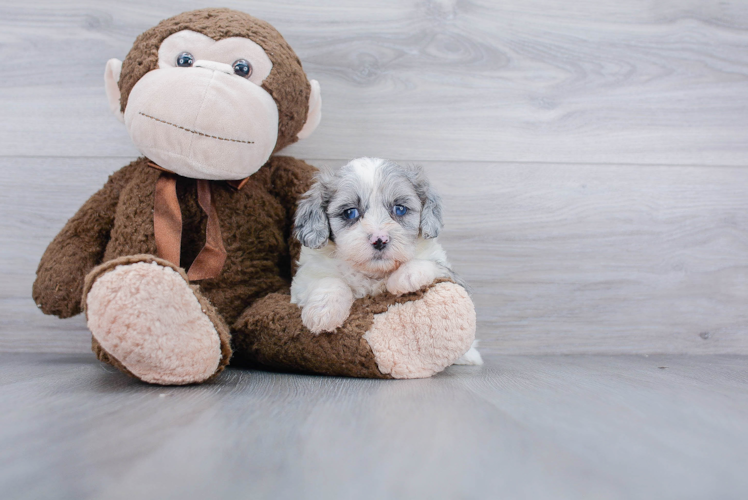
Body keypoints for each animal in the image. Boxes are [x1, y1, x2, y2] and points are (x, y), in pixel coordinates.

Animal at [290, 158, 482, 366]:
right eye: (350, 213)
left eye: (400, 209)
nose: (379, 239)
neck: (373, 273)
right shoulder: (303, 279)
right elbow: (329, 280)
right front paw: (324, 312)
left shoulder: (450, 272)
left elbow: (432, 264)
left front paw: (406, 276)